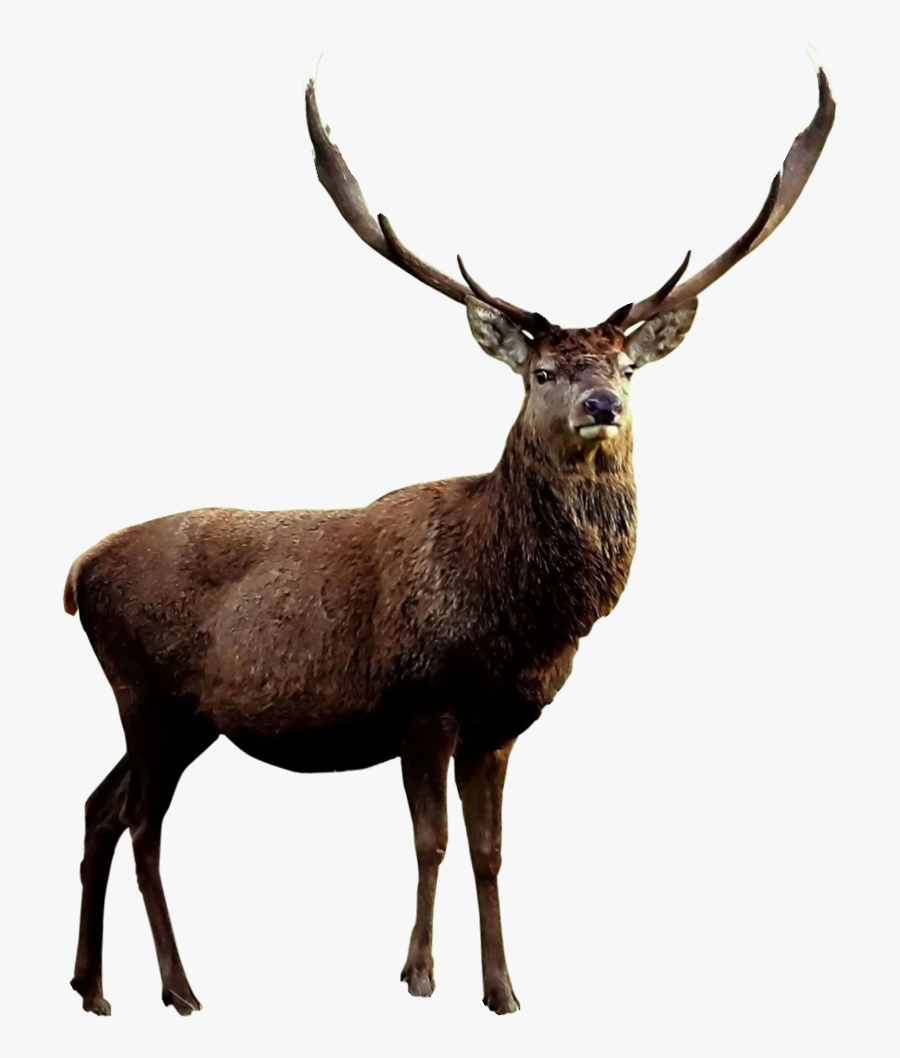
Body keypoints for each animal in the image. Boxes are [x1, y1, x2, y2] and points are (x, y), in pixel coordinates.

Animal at [66, 54, 834, 1018]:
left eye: (624, 365)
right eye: (541, 371)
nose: (601, 405)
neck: (515, 621)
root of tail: (75, 572)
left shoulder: (500, 726)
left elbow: (490, 853)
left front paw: (504, 990)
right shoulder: (419, 703)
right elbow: (429, 843)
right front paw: (420, 976)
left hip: (180, 714)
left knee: (99, 809)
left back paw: (92, 988)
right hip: (149, 694)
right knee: (142, 825)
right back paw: (179, 989)